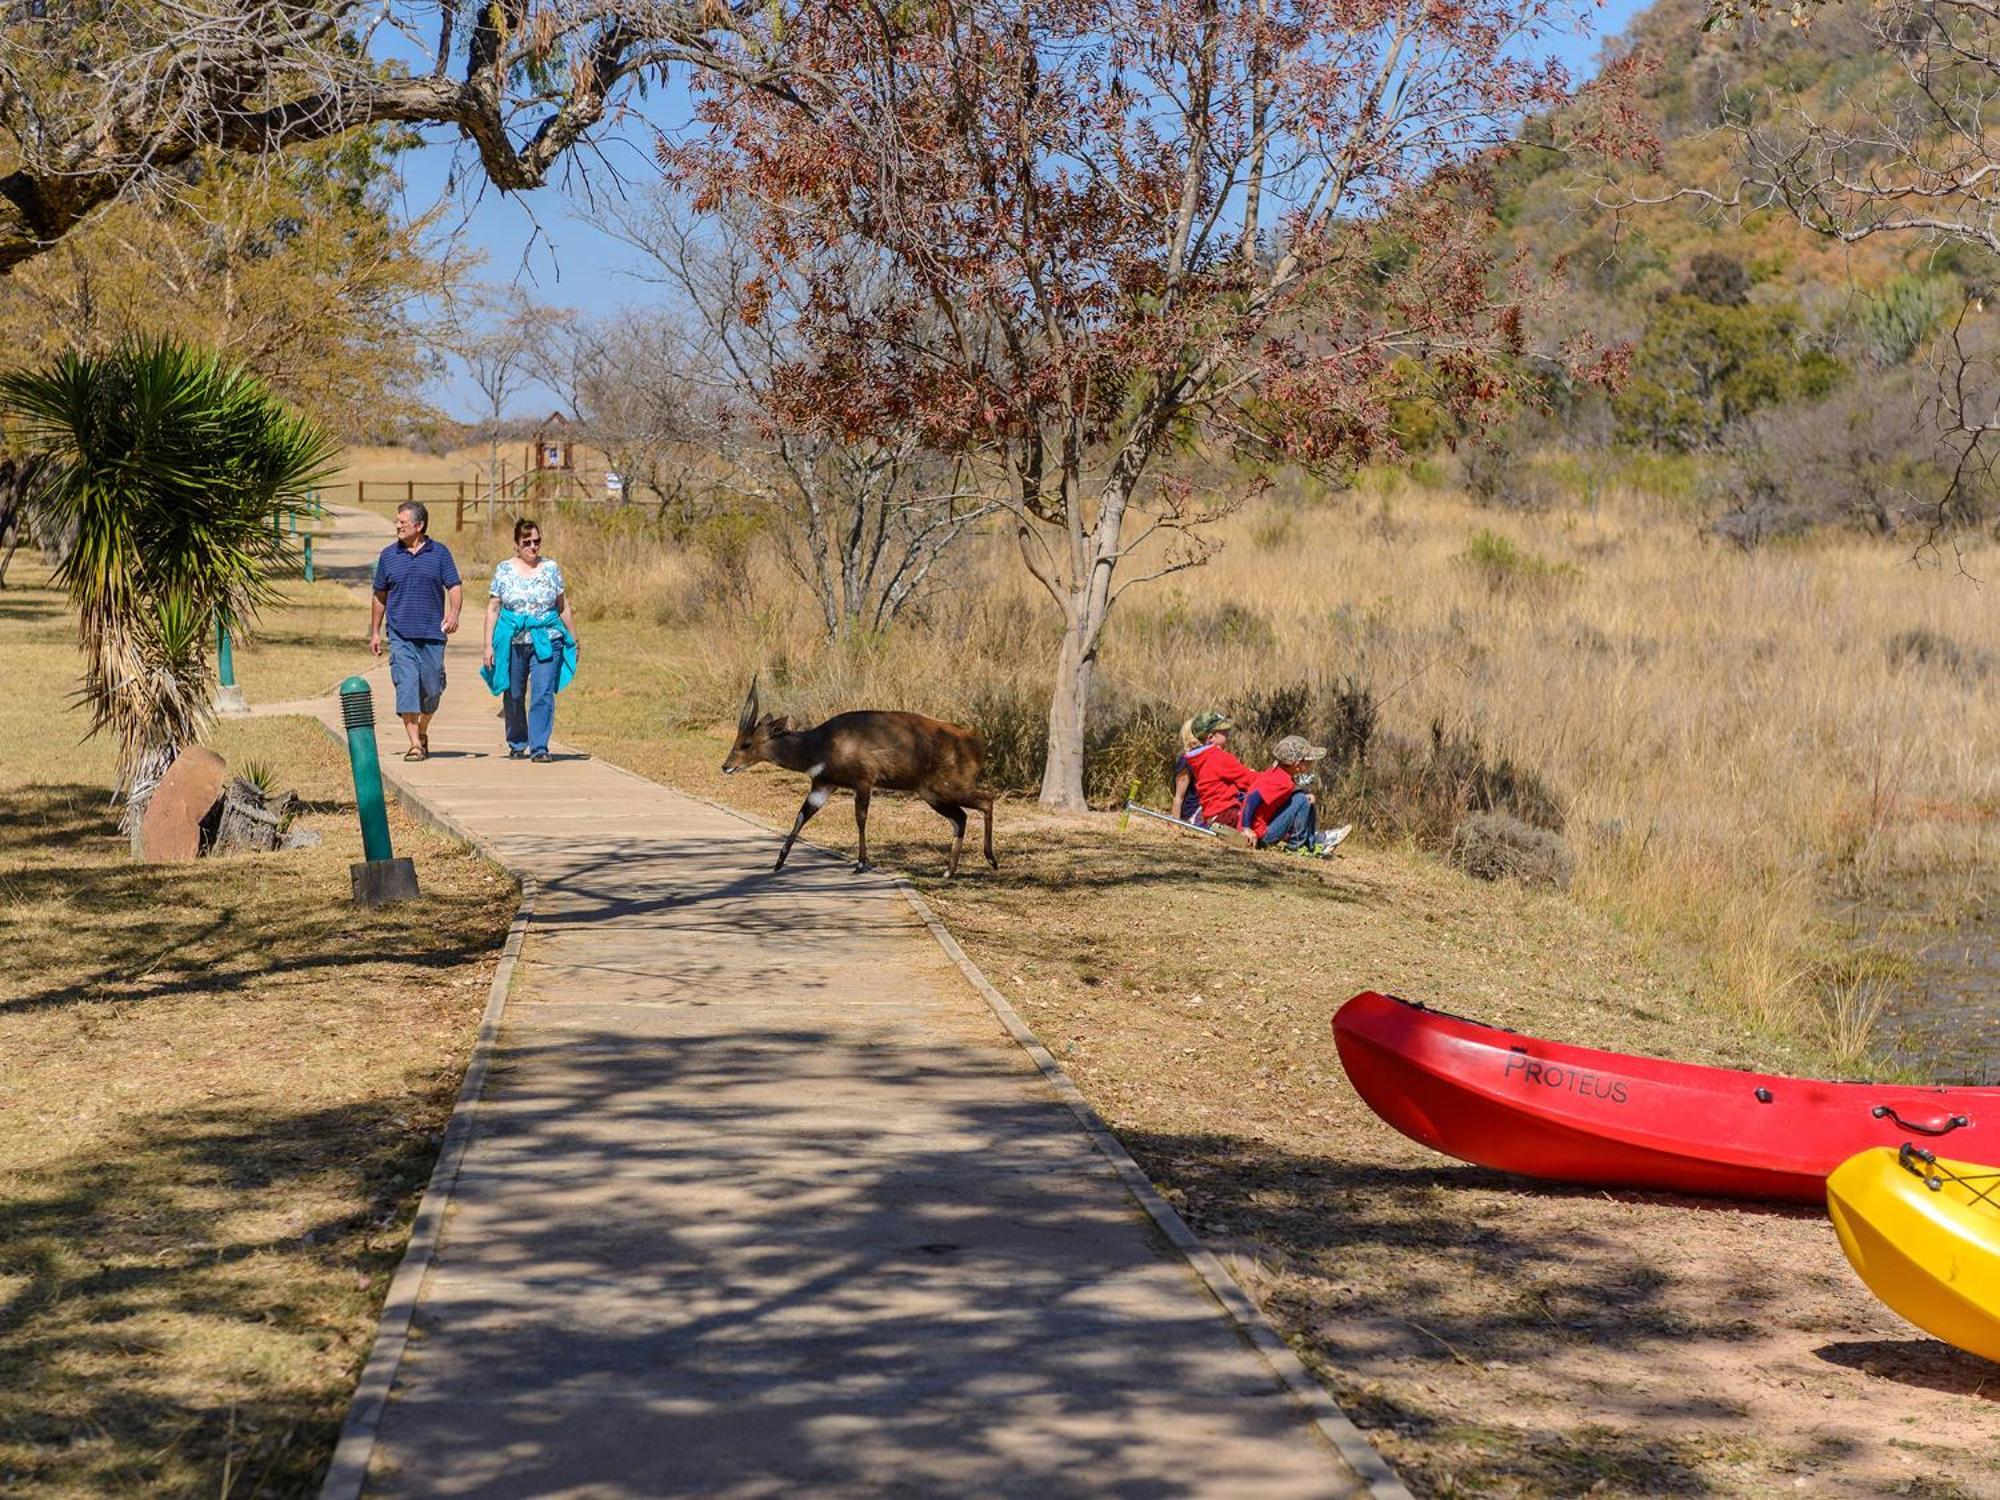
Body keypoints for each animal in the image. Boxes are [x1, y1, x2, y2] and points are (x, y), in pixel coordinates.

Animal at [724, 676, 996, 876]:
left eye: (746, 744)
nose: (725, 766)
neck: (819, 744)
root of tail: (975, 741)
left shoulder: (863, 781)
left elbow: (860, 818)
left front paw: (860, 864)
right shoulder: (823, 785)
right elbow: (801, 816)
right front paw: (778, 863)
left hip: (948, 787)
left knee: (986, 800)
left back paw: (991, 860)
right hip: (931, 794)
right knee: (960, 817)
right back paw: (948, 872)